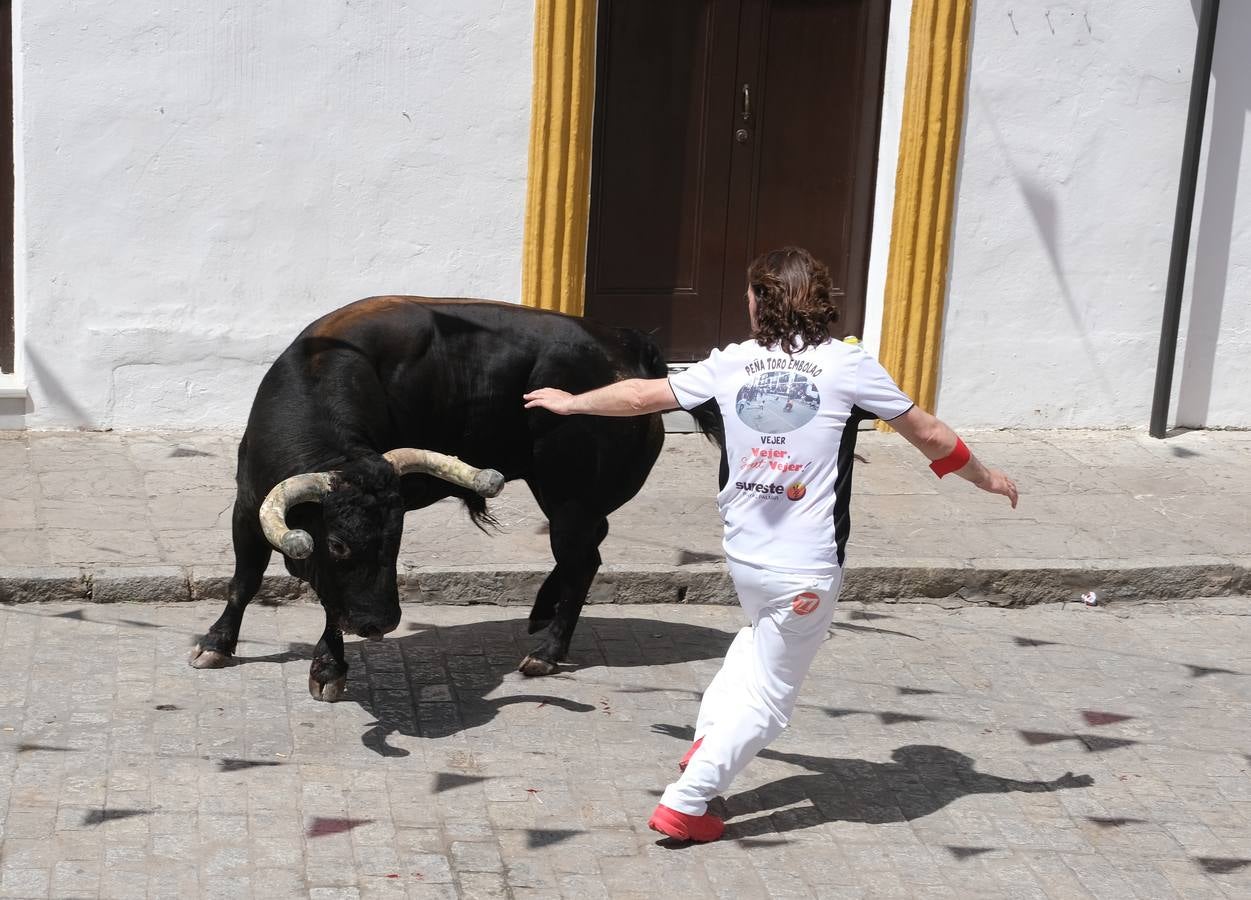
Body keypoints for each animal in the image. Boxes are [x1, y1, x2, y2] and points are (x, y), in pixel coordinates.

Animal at [190, 299, 730, 700]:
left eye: (397, 540)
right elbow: (244, 582)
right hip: (568, 498)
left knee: (583, 561)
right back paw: (540, 613)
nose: (382, 623)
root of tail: (629, 343)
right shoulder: (247, 508)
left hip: (568, 499)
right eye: (340, 545)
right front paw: (217, 643)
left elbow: (325, 601)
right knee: (588, 550)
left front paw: (328, 669)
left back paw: (547, 652)